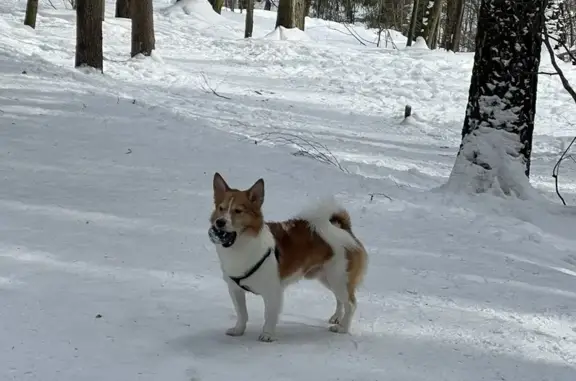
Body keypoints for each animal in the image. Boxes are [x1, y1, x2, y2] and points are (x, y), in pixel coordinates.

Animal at [209, 172, 366, 342]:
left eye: (238, 211)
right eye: (221, 208)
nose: (219, 222)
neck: (241, 246)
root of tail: (345, 229)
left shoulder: (273, 291)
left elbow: (270, 315)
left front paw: (267, 334)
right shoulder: (235, 290)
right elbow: (242, 313)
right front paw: (239, 330)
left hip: (339, 278)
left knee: (351, 303)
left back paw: (343, 327)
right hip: (328, 277)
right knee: (340, 299)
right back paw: (337, 317)